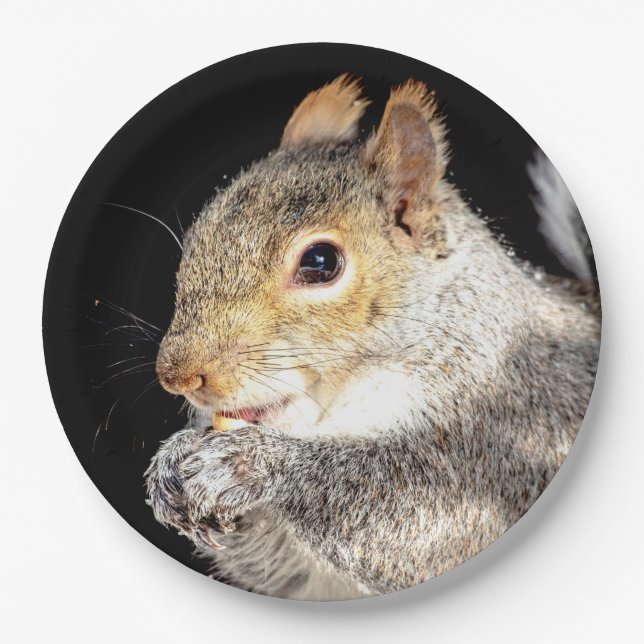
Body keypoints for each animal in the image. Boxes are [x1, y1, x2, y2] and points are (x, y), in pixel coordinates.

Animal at [145, 75, 601, 600]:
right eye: (198, 237)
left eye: (320, 262)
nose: (177, 376)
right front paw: (173, 461)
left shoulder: (504, 436)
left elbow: (419, 520)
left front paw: (248, 465)